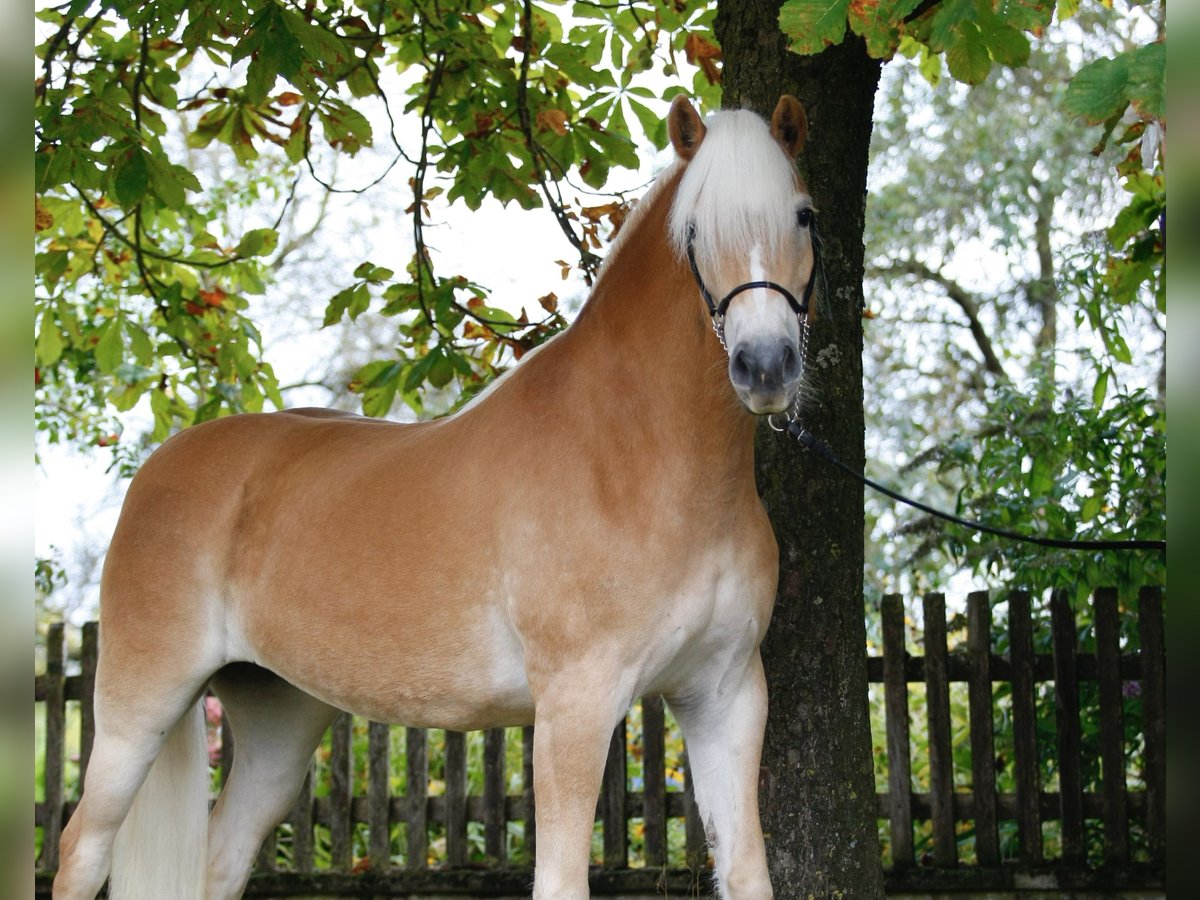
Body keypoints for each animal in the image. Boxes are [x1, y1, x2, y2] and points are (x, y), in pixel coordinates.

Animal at [54, 97, 825, 900]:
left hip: (276, 720)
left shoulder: (724, 696)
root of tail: (160, 466)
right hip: (139, 706)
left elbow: (747, 870)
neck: (637, 456)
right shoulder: (576, 704)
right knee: (83, 847)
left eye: (804, 216)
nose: (765, 366)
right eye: (697, 229)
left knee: (221, 860)